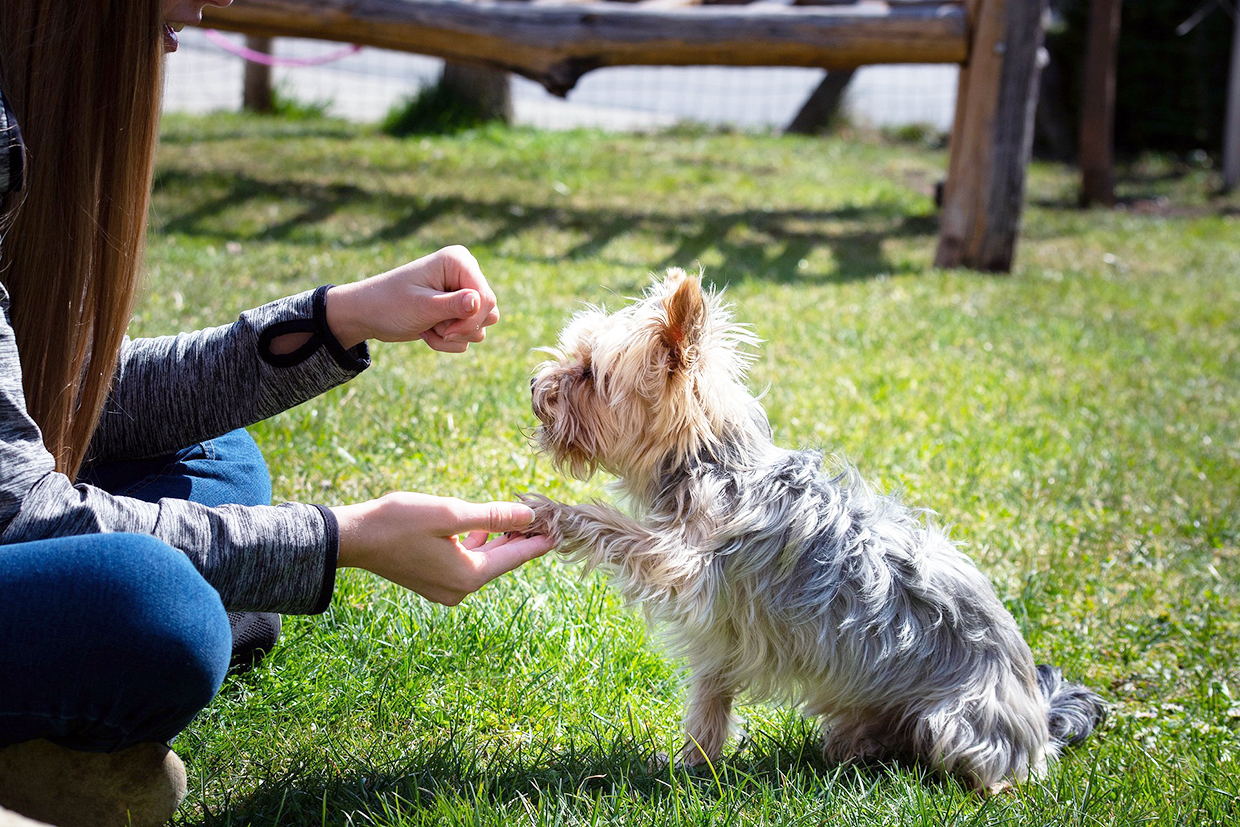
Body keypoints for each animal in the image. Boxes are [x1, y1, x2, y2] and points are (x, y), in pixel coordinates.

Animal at [523, 269, 1106, 793]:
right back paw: (861, 753)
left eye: (588, 373)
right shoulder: (722, 631)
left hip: (956, 722)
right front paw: (694, 763)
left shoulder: (683, 561)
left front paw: (551, 512)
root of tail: (1039, 721)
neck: (711, 461)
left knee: (987, 771)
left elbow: (615, 528)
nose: (534, 385)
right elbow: (711, 697)